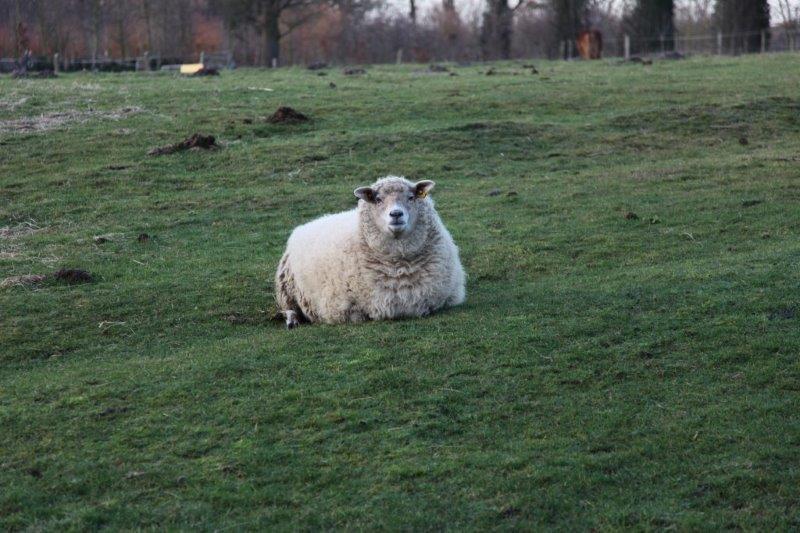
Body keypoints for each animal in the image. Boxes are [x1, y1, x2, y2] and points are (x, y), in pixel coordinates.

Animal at [276, 177, 466, 326]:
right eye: (378, 199)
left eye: (411, 197)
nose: (396, 214)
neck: (398, 263)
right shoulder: (344, 307)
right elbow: (358, 315)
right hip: (286, 287)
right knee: (288, 308)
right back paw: (292, 321)